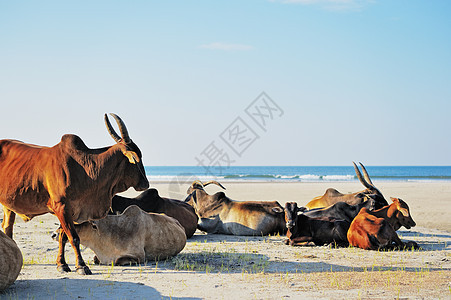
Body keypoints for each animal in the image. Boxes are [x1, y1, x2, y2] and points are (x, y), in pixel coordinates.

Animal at [0, 114, 150, 274]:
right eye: (137, 157)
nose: (145, 183)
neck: (86, 168)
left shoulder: (70, 211)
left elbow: (63, 237)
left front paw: (62, 264)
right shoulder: (61, 207)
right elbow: (74, 238)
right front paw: (81, 266)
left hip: (9, 205)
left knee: (7, 227)